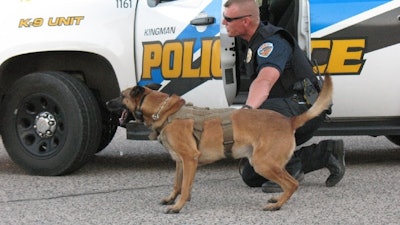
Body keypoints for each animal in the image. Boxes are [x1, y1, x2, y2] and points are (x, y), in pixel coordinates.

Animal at [106, 75, 334, 213]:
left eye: (121, 95)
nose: (106, 102)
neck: (163, 111)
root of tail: (288, 121)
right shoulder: (180, 161)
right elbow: (178, 183)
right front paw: (172, 199)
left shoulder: (190, 159)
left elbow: (185, 186)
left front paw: (178, 206)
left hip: (262, 164)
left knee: (292, 183)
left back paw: (276, 205)